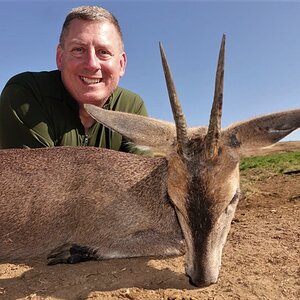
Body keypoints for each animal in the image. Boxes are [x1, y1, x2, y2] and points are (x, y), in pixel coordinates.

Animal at [0, 35, 300, 286]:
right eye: (174, 201)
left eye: (233, 198)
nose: (201, 278)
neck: (141, 189)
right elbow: (178, 243)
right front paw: (72, 251)